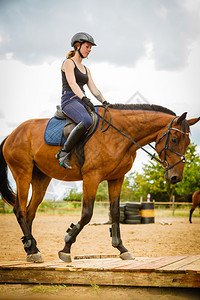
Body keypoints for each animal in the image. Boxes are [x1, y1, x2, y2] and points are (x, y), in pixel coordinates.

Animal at [0, 103, 199, 262]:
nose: (176, 177)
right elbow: (87, 214)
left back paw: (31, 249)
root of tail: (12, 134)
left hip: (41, 178)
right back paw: (33, 250)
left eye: (188, 142)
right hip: (23, 174)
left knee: (30, 212)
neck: (119, 135)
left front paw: (122, 249)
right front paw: (66, 247)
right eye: (174, 139)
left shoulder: (116, 178)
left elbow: (115, 213)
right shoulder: (92, 177)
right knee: (20, 210)